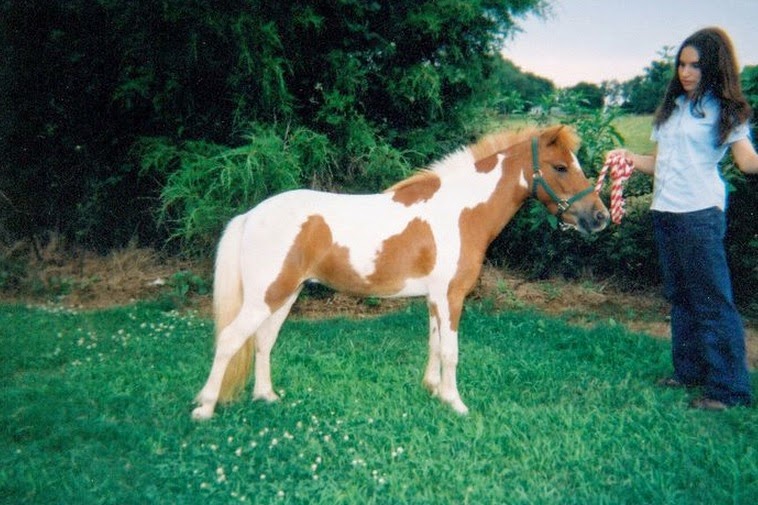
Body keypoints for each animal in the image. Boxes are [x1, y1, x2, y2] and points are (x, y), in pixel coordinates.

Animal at [191, 124, 612, 420]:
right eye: (561, 167)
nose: (600, 217)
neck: (461, 212)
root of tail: (251, 215)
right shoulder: (451, 297)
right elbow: (452, 351)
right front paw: (456, 403)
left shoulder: (434, 299)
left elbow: (434, 344)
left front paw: (433, 390)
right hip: (266, 297)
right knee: (230, 340)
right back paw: (205, 408)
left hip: (284, 295)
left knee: (263, 341)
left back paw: (266, 396)